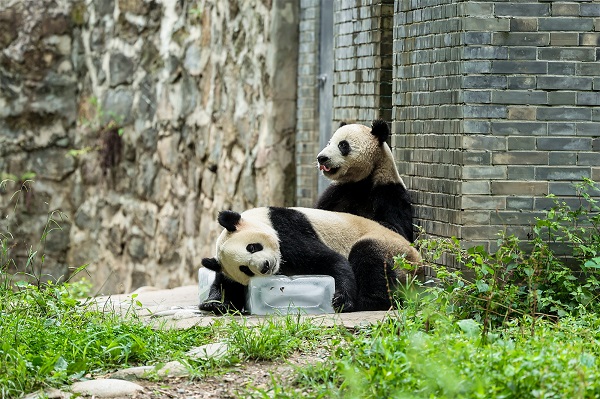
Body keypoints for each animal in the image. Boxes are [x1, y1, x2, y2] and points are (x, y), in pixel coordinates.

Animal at [199, 206, 420, 316]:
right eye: (245, 269)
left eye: (252, 247)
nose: (265, 266)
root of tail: (417, 259)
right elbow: (228, 285)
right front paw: (214, 305)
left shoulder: (286, 229)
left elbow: (331, 260)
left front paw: (341, 299)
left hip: (393, 249)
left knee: (368, 256)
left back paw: (366, 302)